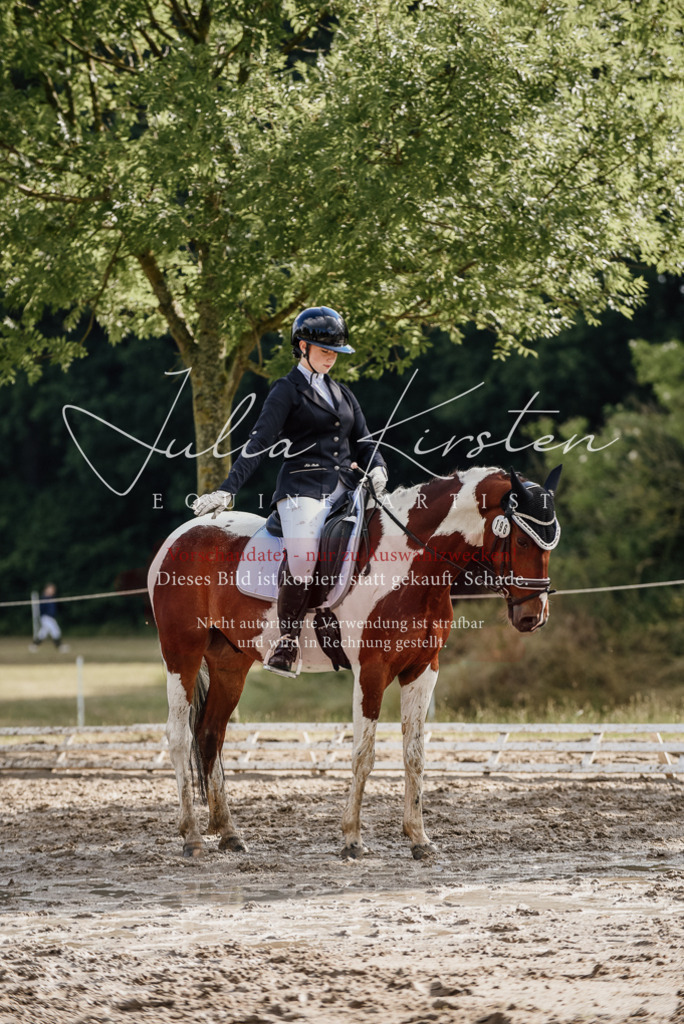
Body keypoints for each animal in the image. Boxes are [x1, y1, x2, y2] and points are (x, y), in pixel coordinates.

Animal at [148, 464, 561, 860]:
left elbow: (415, 754)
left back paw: (229, 834)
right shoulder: (371, 670)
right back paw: (192, 836)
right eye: (521, 540)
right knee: (180, 735)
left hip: (230, 663)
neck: (411, 564)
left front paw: (419, 839)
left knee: (210, 735)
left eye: (549, 546)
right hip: (182, 653)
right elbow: (364, 753)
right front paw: (352, 840)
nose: (533, 617)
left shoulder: (423, 670)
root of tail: (181, 534)